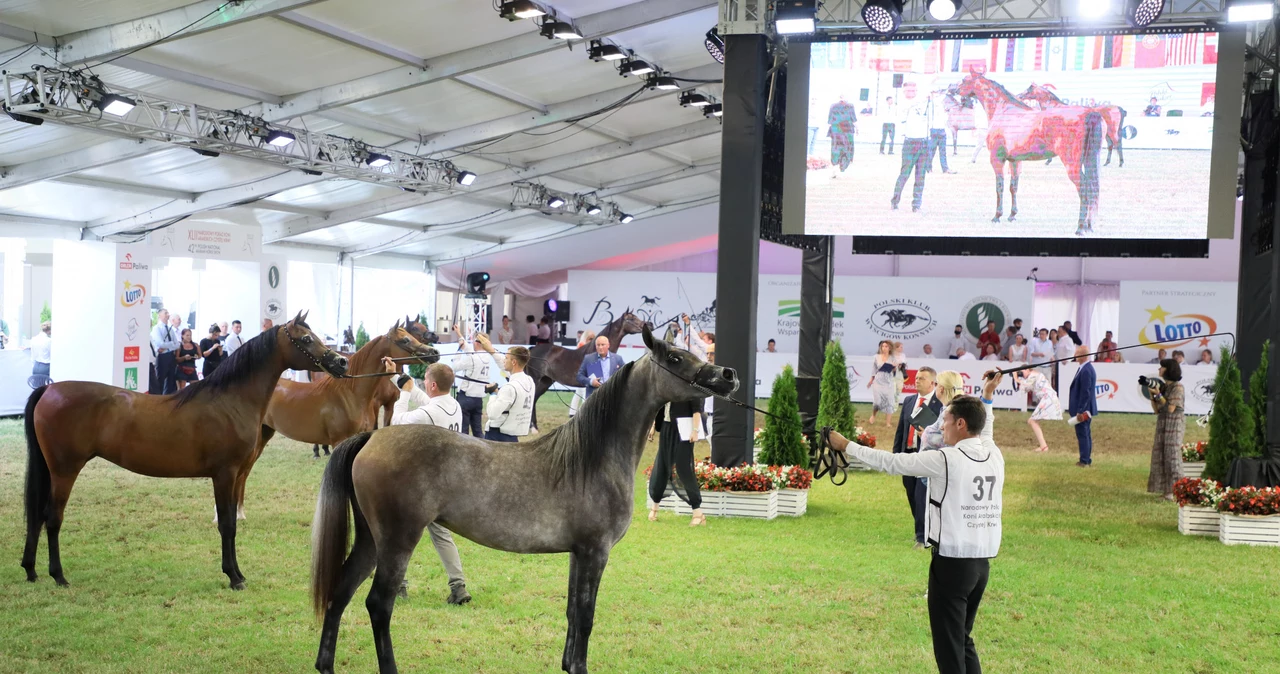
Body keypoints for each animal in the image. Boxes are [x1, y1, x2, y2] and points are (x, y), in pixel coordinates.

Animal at [24, 312, 345, 590]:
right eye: (306, 339)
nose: (341, 361)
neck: (230, 401)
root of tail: (49, 390)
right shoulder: (225, 475)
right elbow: (226, 525)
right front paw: (233, 577)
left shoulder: (235, 476)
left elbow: (232, 524)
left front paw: (238, 573)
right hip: (65, 470)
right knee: (52, 518)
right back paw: (58, 576)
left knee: (37, 516)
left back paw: (31, 571)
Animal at [305, 324, 742, 670]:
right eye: (676, 357)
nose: (729, 373)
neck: (593, 456)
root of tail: (372, 438)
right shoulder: (596, 552)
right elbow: (586, 617)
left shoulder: (578, 554)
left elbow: (572, 613)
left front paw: (568, 665)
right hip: (397, 542)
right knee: (379, 605)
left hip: (371, 540)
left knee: (340, 592)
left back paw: (325, 664)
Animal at [957, 71, 1105, 235]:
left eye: (964, 80)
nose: (954, 90)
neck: (1004, 111)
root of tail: (1089, 113)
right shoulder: (1014, 161)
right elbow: (1013, 186)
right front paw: (1012, 215)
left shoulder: (997, 159)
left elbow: (999, 186)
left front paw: (997, 216)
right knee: (1092, 187)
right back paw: (1089, 226)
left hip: (1072, 165)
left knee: (1084, 188)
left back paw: (1080, 227)